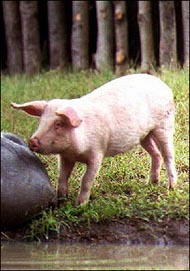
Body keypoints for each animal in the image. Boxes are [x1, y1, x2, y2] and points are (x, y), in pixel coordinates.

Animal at [10, 73, 177, 205]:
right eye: (41, 121)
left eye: (58, 124)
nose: (32, 141)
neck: (75, 151)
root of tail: (163, 85)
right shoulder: (66, 157)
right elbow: (62, 177)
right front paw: (61, 200)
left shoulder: (97, 152)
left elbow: (86, 180)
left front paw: (80, 205)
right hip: (144, 135)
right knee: (156, 154)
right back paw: (151, 183)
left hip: (164, 125)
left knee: (168, 155)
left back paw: (171, 186)